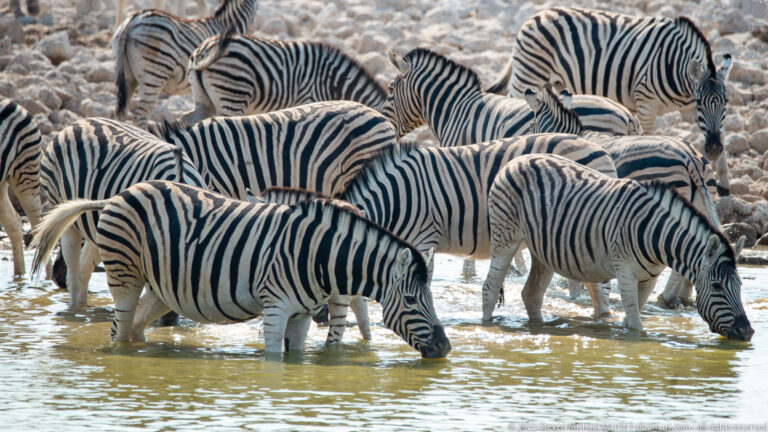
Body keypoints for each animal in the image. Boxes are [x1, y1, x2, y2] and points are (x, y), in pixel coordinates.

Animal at [30, 180, 451, 357]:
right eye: (412, 301)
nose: (445, 349)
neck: (318, 254)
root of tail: (119, 194)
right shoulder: (277, 307)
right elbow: (274, 361)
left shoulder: (300, 314)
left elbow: (296, 358)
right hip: (125, 276)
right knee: (119, 331)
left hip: (164, 287)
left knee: (135, 327)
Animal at [113, 0, 259, 126]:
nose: (254, 31)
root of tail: (132, 21)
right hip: (154, 73)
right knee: (142, 114)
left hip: (127, 74)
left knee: (121, 111)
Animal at [181, 28, 387, 126]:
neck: (333, 82)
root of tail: (203, 50)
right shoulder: (310, 99)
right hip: (233, 91)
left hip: (204, 99)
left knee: (187, 119)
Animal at [483, 154, 752, 341]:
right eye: (717, 286)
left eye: (740, 286)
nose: (747, 332)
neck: (656, 235)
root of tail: (516, 160)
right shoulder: (625, 272)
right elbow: (635, 324)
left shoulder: (649, 279)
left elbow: (632, 318)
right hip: (505, 238)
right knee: (490, 288)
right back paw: (488, 326)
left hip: (543, 250)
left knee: (532, 295)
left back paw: (538, 329)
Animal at [507, 7, 733, 195]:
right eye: (700, 100)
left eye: (727, 101)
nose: (713, 150)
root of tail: (538, 14)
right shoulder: (646, 103)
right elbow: (647, 135)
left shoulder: (693, 110)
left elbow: (720, 131)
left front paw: (723, 183)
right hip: (530, 73)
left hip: (558, 82)